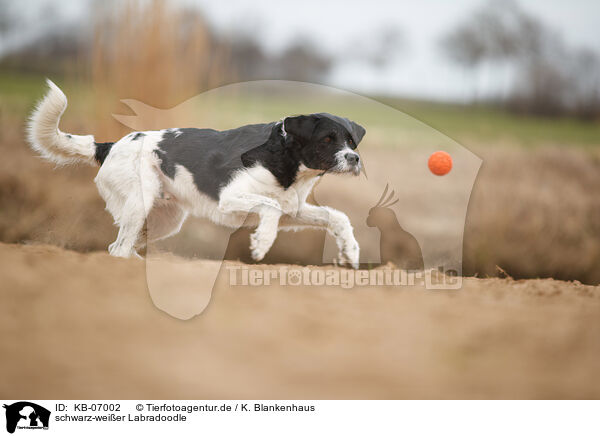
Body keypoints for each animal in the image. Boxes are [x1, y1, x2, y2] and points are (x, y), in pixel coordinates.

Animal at [27, 80, 366, 268]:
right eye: (327, 139)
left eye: (351, 140)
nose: (355, 159)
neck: (284, 158)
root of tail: (108, 146)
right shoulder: (231, 198)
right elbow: (268, 208)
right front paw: (261, 244)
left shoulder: (292, 211)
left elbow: (337, 217)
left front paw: (351, 252)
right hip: (139, 204)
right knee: (119, 249)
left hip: (163, 219)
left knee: (117, 248)